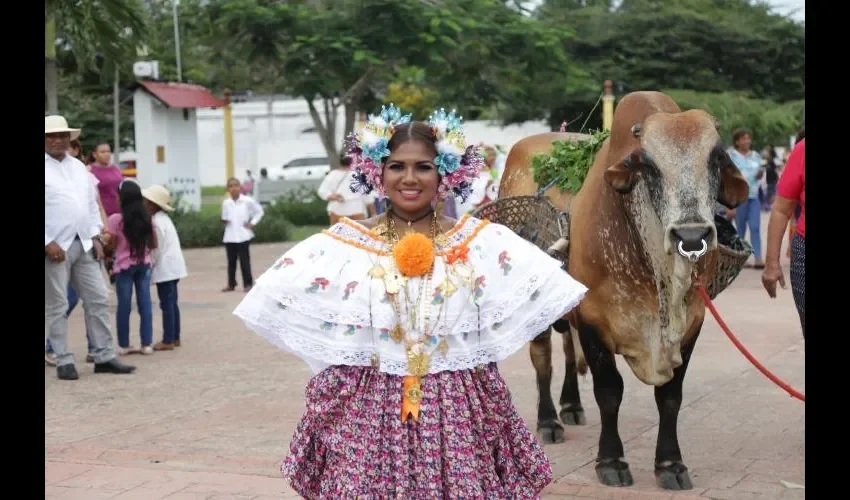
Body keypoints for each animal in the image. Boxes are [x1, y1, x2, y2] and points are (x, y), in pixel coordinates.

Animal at [500, 92, 744, 490]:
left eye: (717, 158)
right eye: (649, 165)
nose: (691, 237)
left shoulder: (692, 323)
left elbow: (670, 396)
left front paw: (670, 464)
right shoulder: (593, 319)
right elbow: (609, 392)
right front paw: (611, 461)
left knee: (568, 353)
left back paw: (571, 406)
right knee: (544, 360)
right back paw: (550, 421)